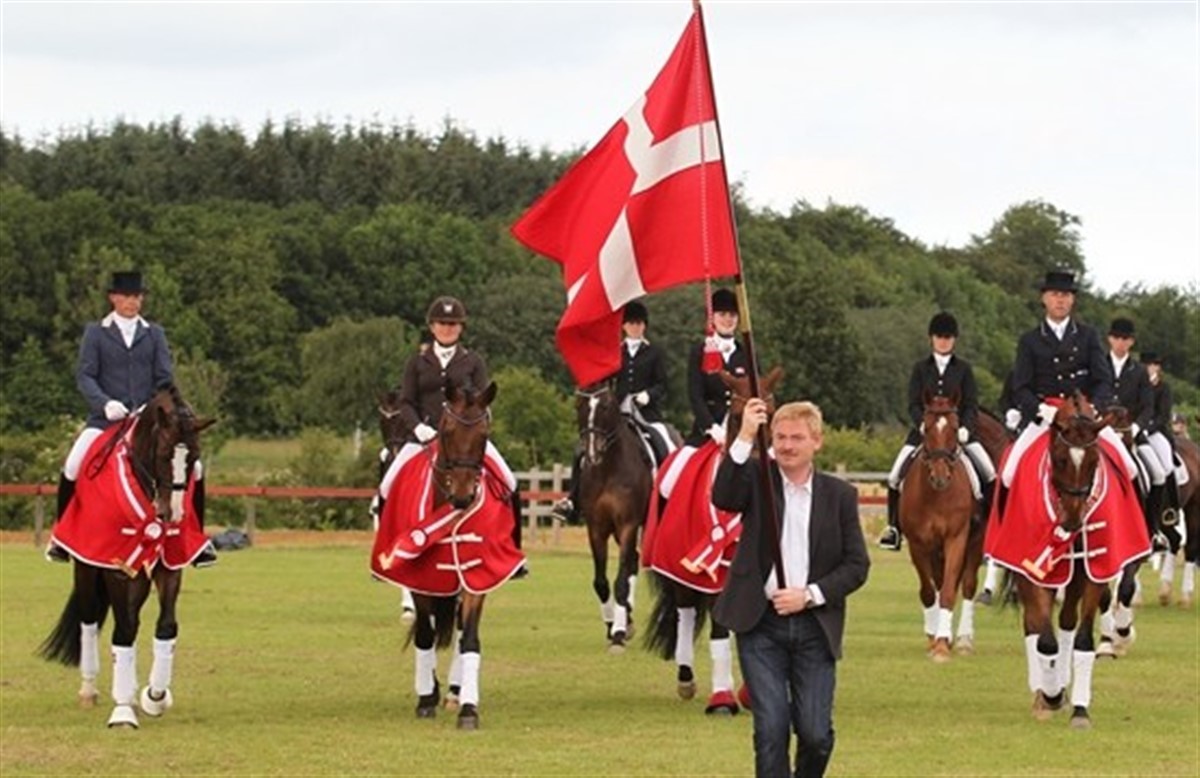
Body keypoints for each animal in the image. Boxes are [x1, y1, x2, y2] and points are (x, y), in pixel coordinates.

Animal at [39, 385, 215, 728]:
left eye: (194, 458)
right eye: (163, 455)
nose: (172, 515)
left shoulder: (168, 566)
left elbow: (166, 627)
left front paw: (155, 696)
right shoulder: (118, 570)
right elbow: (123, 631)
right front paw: (122, 712)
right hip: (87, 569)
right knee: (90, 621)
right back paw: (89, 690)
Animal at [574, 381, 654, 652]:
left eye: (607, 406)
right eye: (579, 406)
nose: (592, 454)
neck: (609, 469)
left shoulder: (627, 525)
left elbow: (620, 580)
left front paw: (618, 634)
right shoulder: (596, 528)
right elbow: (601, 582)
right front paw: (612, 626)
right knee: (633, 561)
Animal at [642, 367, 782, 713]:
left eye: (773, 415)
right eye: (739, 418)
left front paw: (747, 691)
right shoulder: (715, 573)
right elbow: (720, 629)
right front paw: (722, 698)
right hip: (679, 573)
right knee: (685, 613)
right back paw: (686, 678)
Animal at [897, 392, 978, 660]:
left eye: (954, 427)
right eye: (928, 427)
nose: (940, 478)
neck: (937, 496)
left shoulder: (956, 538)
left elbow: (948, 592)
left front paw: (942, 645)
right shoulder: (918, 544)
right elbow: (928, 591)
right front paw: (935, 638)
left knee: (967, 584)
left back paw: (961, 640)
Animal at [988, 392, 1148, 728]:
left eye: (1094, 461)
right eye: (1060, 459)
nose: (1073, 522)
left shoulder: (1093, 572)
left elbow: (1082, 640)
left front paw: (1079, 708)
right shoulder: (1033, 571)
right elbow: (1044, 640)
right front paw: (1050, 695)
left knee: (1066, 623)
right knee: (1034, 627)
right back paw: (1043, 692)